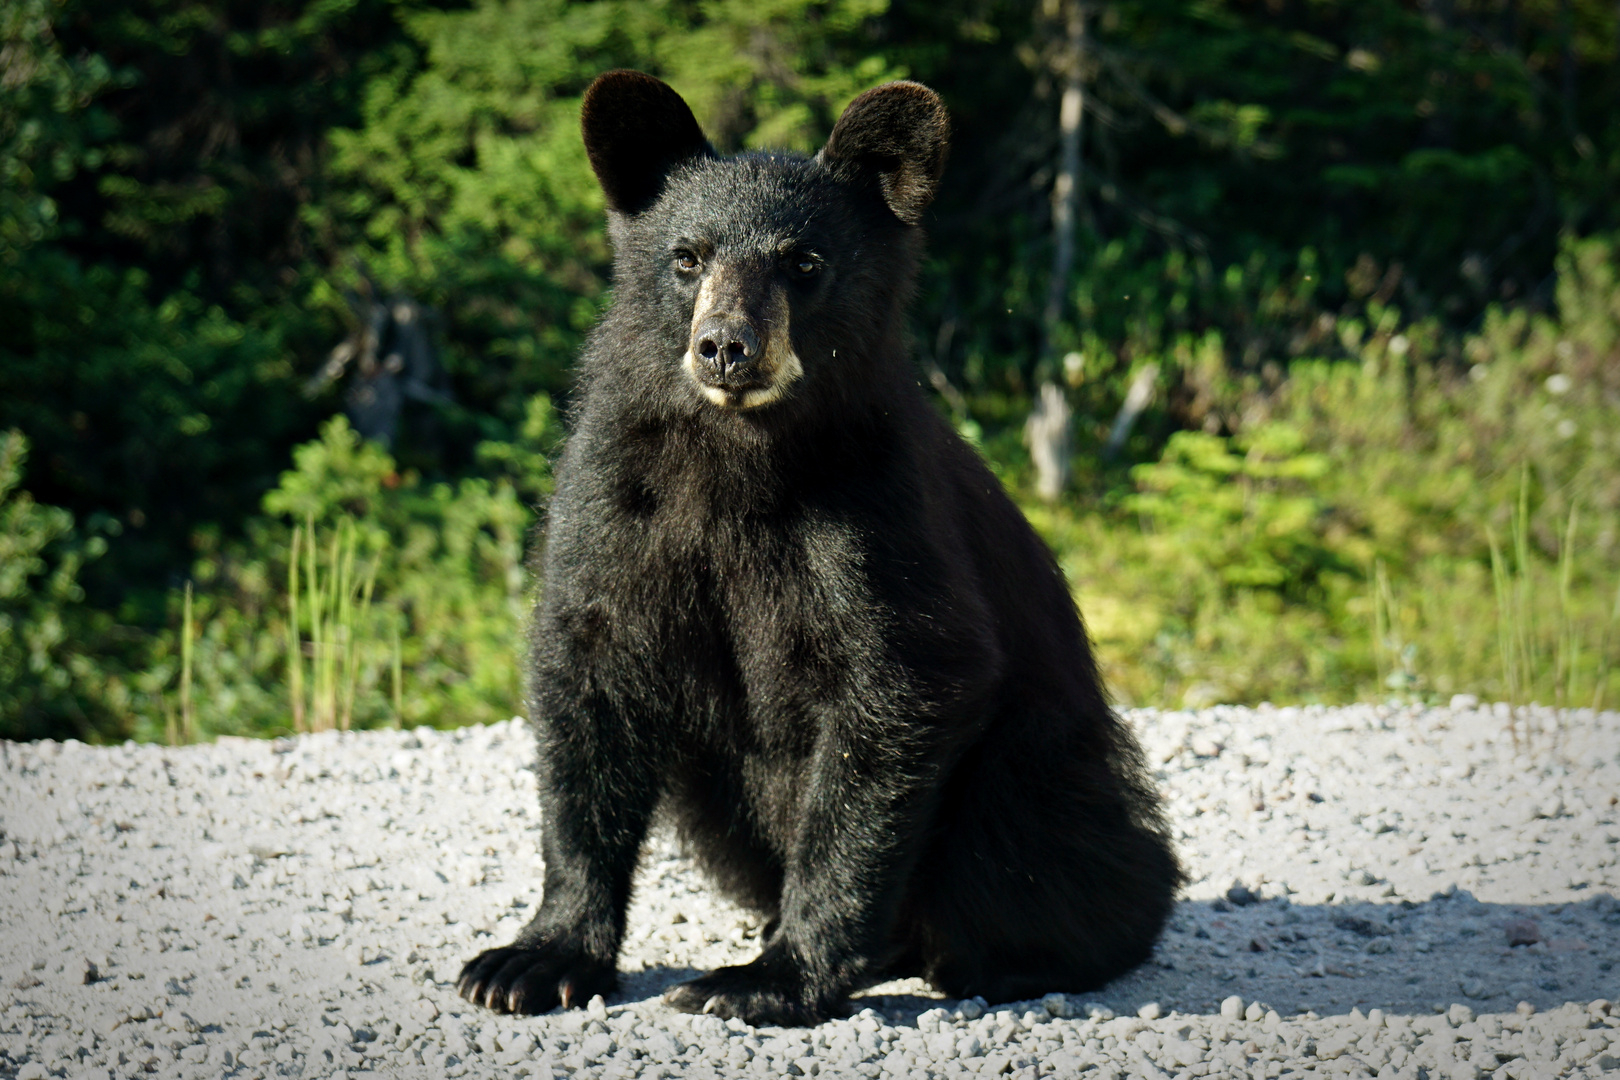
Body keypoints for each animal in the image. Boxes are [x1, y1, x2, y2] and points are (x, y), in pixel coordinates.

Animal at [456, 70, 1181, 1027]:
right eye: (687, 256)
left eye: (803, 261)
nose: (726, 347)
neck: (736, 464)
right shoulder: (616, 504)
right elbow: (589, 681)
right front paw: (530, 960)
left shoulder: (874, 515)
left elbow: (900, 691)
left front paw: (766, 977)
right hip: (713, 793)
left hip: (1040, 763)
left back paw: (1016, 956)